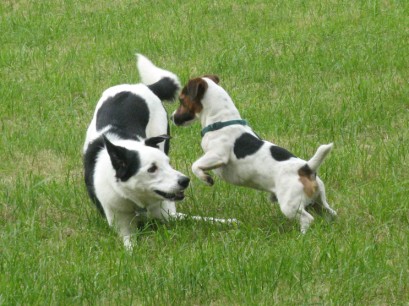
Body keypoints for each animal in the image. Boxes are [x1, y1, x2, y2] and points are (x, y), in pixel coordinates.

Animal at [171, 75, 336, 233]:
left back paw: (302, 235)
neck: (222, 121)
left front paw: (206, 179)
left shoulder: (218, 155)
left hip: (290, 205)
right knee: (331, 213)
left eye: (181, 100)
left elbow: (195, 165)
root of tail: (306, 168)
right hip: (318, 202)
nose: (172, 117)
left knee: (307, 219)